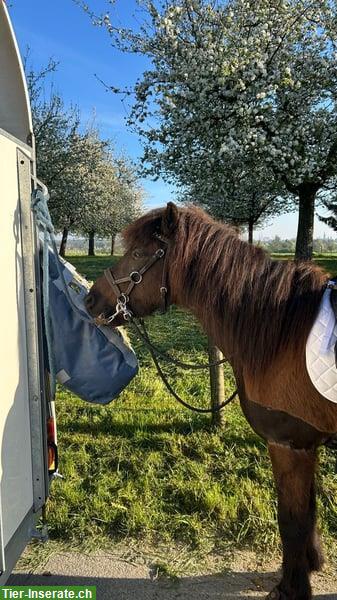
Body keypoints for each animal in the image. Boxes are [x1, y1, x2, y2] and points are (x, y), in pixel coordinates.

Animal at [84, 203, 336, 600]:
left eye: (139, 253)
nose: (90, 299)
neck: (282, 332)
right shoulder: (306, 446)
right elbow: (306, 513)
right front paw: (310, 564)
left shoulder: (289, 445)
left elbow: (292, 519)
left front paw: (291, 587)